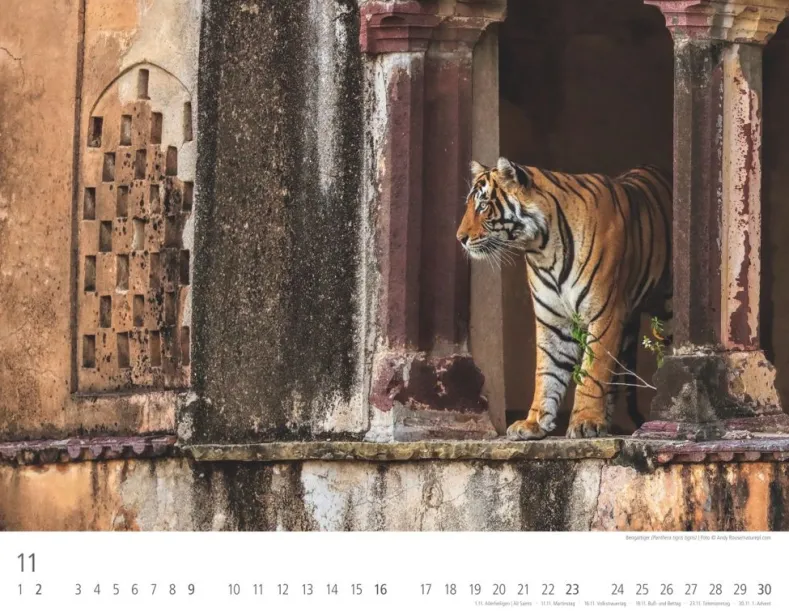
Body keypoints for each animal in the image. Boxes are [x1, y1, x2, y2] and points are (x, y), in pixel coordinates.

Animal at [457, 157, 672, 439]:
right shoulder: (552, 320)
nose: (459, 238)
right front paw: (533, 422)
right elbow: (547, 372)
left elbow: (593, 370)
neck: (543, 249)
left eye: (483, 205)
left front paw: (585, 421)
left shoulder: (605, 313)